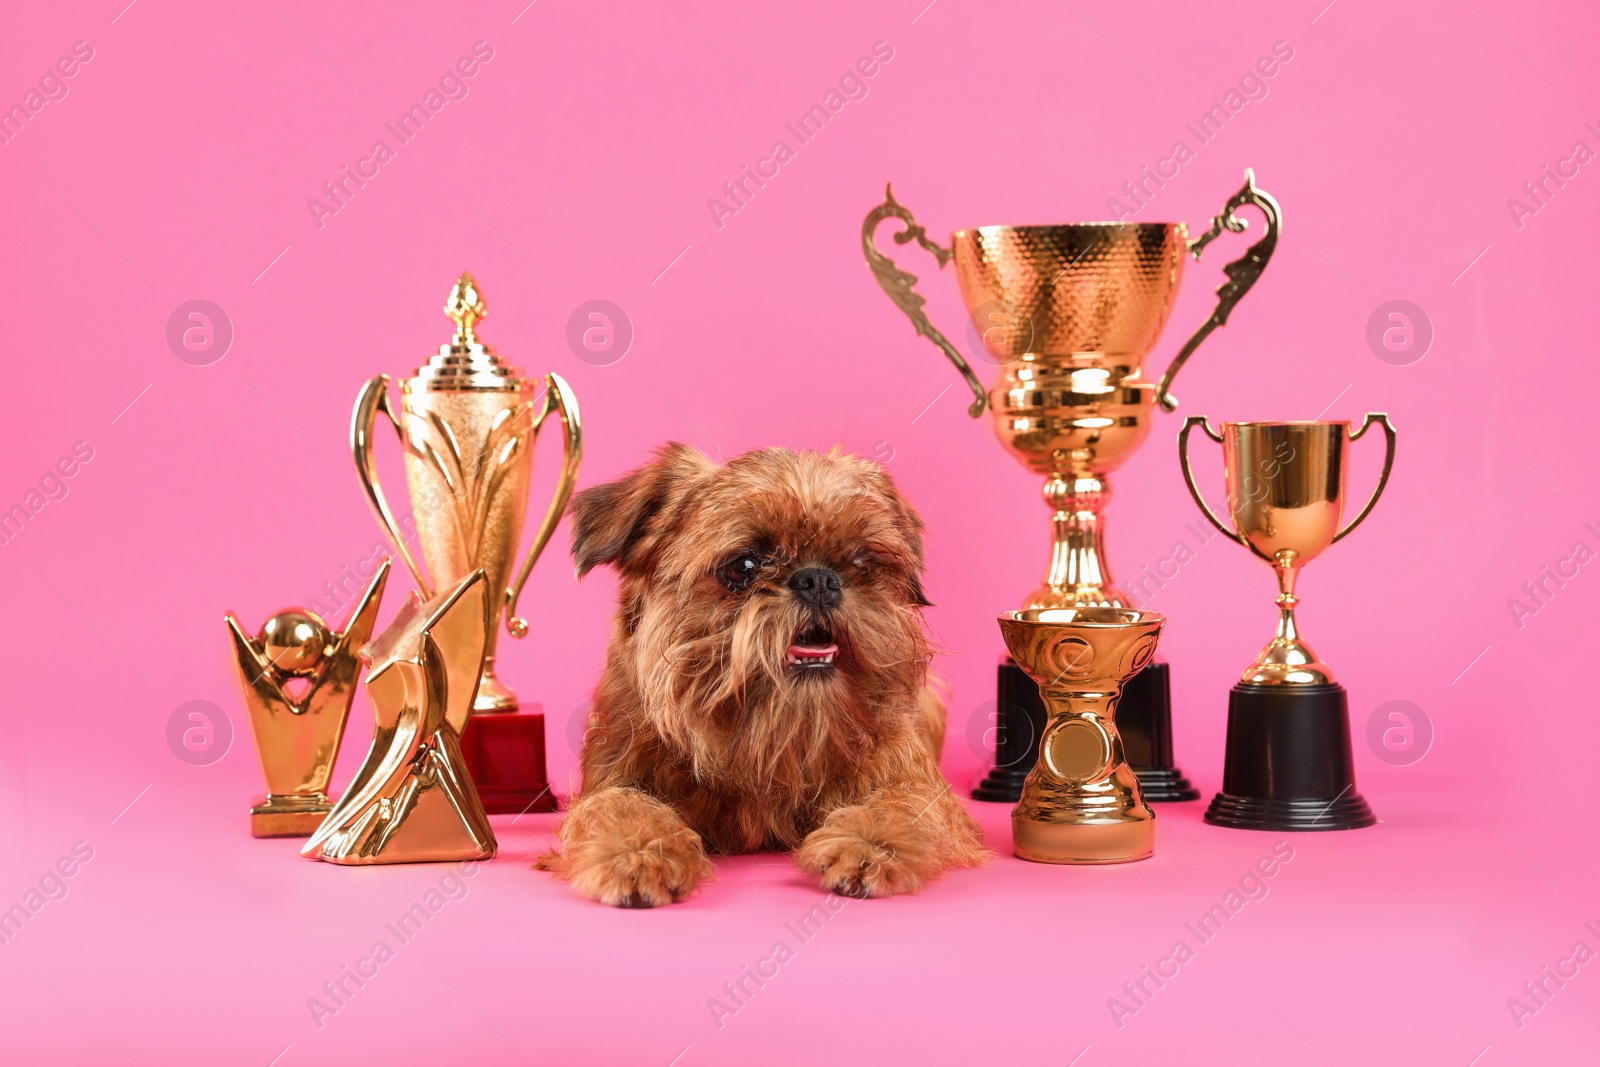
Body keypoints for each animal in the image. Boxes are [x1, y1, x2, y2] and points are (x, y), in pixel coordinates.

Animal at [537, 444, 985, 908]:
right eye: (743, 567)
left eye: (862, 559)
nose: (818, 578)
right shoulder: (612, 776)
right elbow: (618, 806)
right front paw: (637, 852)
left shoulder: (917, 783)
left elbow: (904, 805)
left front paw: (865, 845)